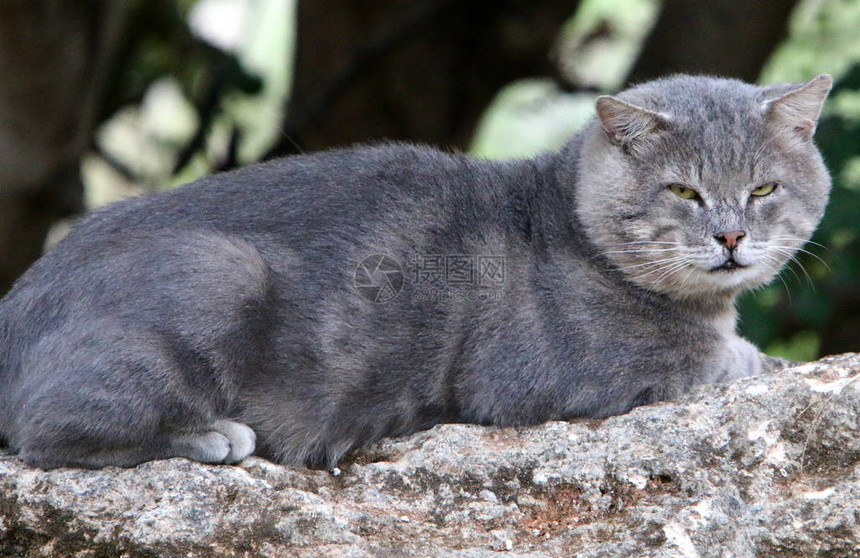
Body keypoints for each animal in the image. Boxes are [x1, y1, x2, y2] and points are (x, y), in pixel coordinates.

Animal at [0, 72, 832, 470]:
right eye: (684, 192)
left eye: (763, 189)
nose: (731, 235)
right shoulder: (553, 377)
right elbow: (718, 359)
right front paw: (756, 357)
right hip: (217, 271)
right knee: (51, 427)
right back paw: (210, 436)